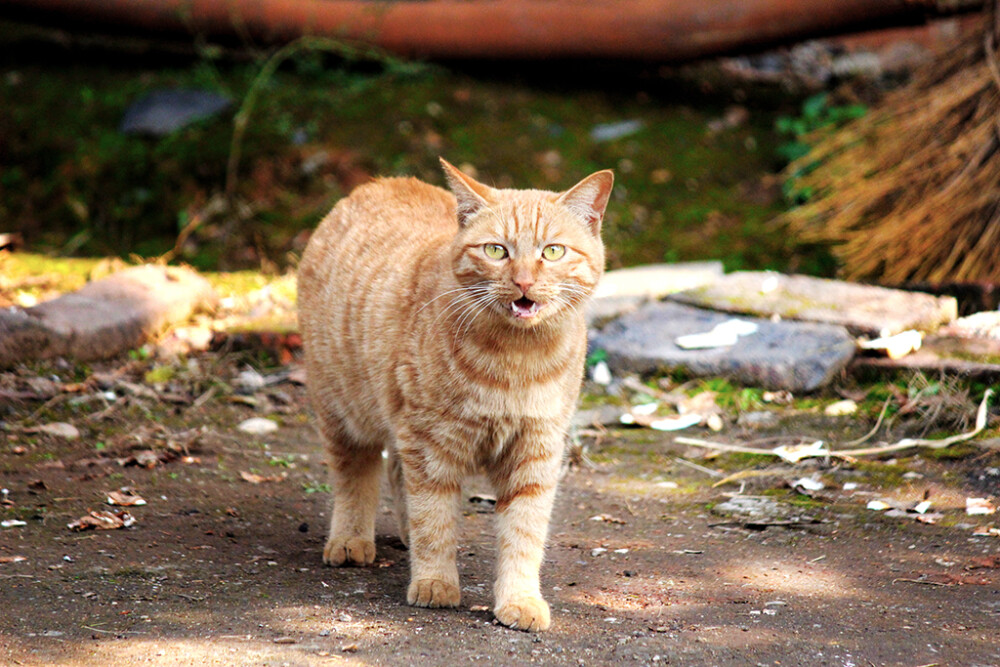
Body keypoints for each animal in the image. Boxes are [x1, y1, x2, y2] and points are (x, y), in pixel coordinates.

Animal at [292, 157, 612, 632]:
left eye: (552, 251)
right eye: (496, 251)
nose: (522, 282)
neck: (517, 359)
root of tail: (377, 184)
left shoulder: (535, 451)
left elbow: (524, 533)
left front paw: (519, 600)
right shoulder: (430, 444)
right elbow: (435, 520)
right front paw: (435, 583)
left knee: (395, 471)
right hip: (343, 409)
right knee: (357, 474)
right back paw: (350, 539)